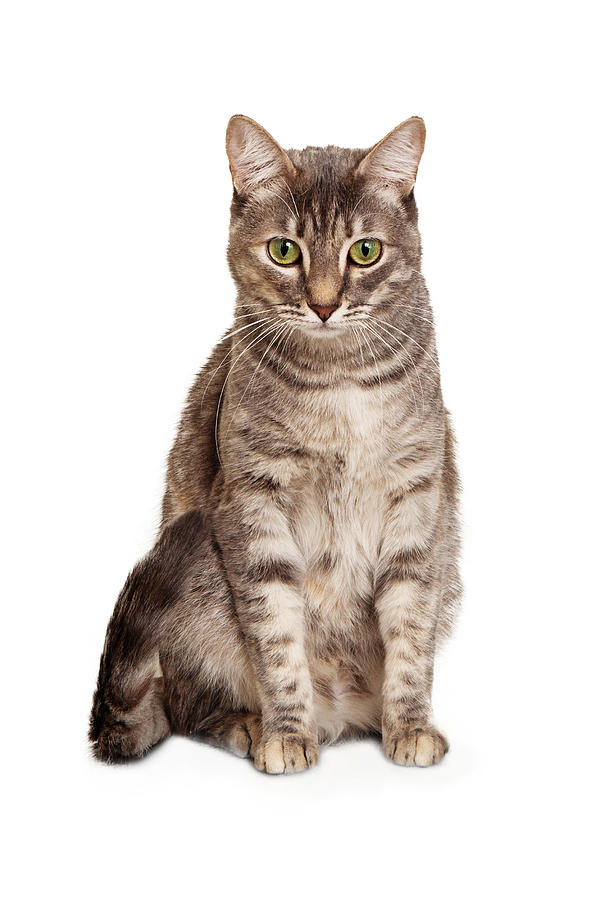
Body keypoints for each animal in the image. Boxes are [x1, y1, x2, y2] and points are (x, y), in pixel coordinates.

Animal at [89, 112, 462, 772]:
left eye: (365, 251)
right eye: (284, 251)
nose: (324, 304)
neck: (340, 382)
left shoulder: (419, 497)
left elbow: (412, 631)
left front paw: (410, 724)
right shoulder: (253, 501)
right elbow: (277, 637)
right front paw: (287, 732)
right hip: (200, 578)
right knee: (186, 705)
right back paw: (247, 724)